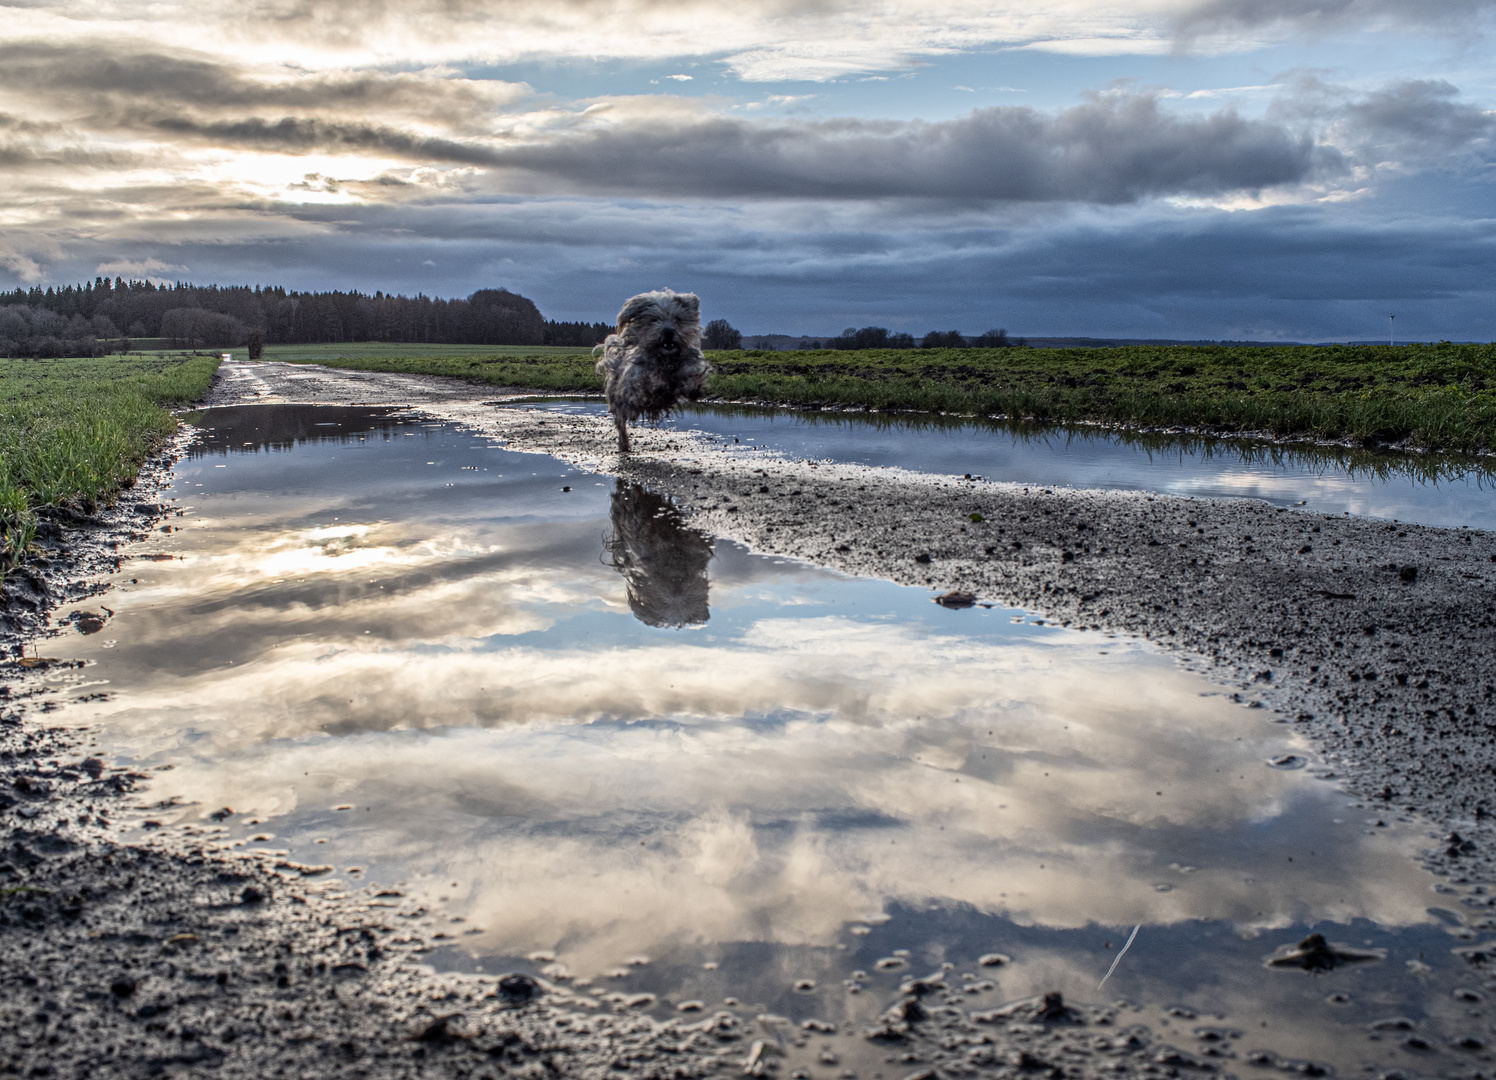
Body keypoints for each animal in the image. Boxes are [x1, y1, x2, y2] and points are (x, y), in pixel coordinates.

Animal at [592, 285, 709, 448]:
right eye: (654, 320)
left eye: (677, 319)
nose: (668, 331)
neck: (665, 359)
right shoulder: (635, 383)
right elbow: (647, 384)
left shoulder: (689, 366)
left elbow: (691, 376)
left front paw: (692, 388)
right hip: (617, 401)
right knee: (621, 423)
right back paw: (624, 444)